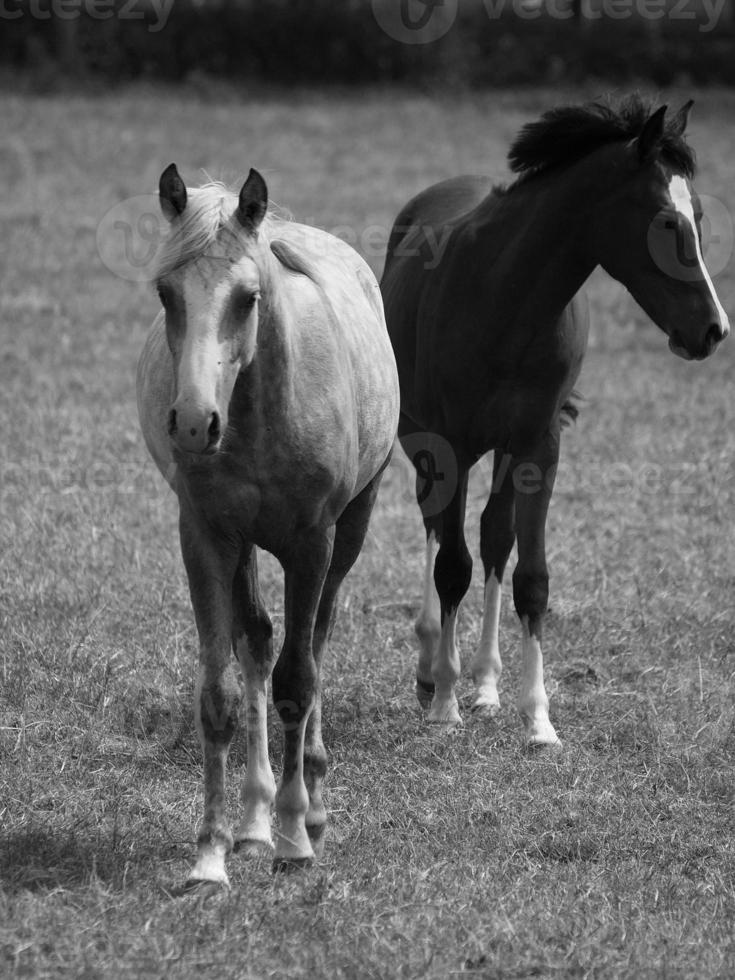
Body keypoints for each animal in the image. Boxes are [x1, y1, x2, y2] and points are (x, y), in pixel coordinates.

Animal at [138, 165, 402, 884]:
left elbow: (296, 680)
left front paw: (294, 839)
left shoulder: (313, 544)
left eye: (248, 297)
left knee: (316, 642)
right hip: (244, 547)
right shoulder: (205, 537)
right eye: (166, 292)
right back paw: (253, 824)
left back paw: (306, 803)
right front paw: (212, 854)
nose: (193, 423)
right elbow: (220, 692)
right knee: (256, 642)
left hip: (349, 532)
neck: (257, 416)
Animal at [386, 97, 732, 744]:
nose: (713, 330)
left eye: (698, 215)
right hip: (425, 442)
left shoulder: (538, 447)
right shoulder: (450, 446)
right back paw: (431, 666)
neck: (504, 298)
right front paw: (444, 702)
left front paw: (538, 720)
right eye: (665, 223)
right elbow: (451, 566)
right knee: (435, 528)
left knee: (494, 538)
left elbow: (530, 576)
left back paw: (487, 684)